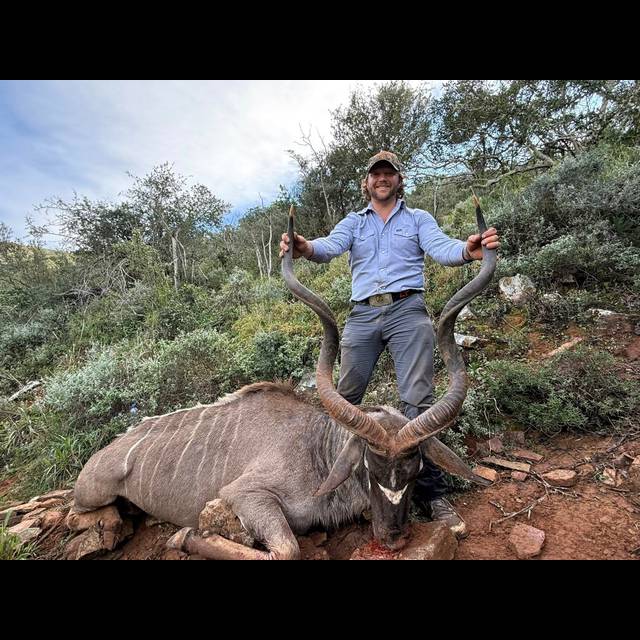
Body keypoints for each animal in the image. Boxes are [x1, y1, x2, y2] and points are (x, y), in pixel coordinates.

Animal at [69, 200, 496, 559]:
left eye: (417, 471)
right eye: (367, 470)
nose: (393, 539)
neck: (319, 450)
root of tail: (108, 449)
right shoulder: (246, 495)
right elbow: (287, 549)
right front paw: (185, 535)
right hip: (93, 491)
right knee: (77, 513)